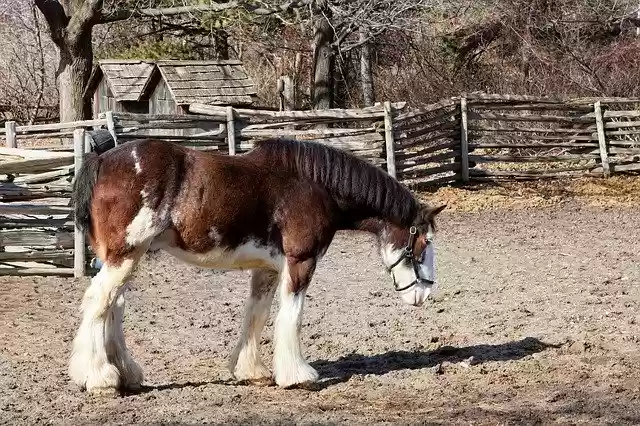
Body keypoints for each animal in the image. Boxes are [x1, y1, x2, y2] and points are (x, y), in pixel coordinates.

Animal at [67, 137, 442, 396]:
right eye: (424, 242)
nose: (423, 294)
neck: (315, 186)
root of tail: (101, 160)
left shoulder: (268, 269)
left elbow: (257, 315)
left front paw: (251, 371)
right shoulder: (300, 262)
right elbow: (291, 317)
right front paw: (297, 376)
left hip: (124, 258)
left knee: (113, 306)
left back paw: (125, 374)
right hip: (125, 255)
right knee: (98, 302)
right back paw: (99, 378)